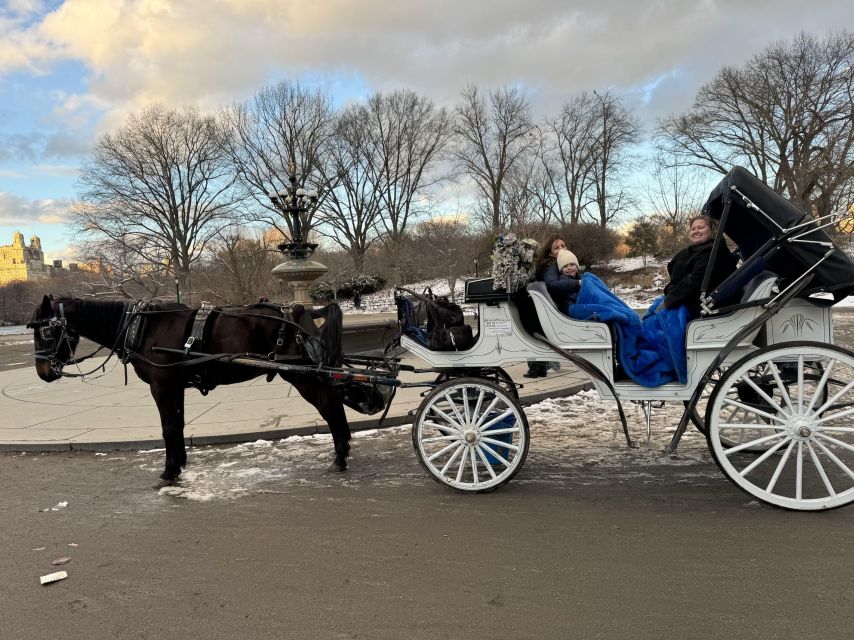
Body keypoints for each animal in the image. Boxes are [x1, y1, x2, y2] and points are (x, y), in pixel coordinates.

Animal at [29, 294, 352, 480]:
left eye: (44, 331)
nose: (42, 372)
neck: (140, 327)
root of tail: (299, 309)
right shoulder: (175, 386)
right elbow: (179, 424)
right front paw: (179, 463)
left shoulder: (161, 386)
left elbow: (168, 427)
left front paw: (170, 470)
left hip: (303, 376)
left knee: (330, 406)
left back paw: (340, 456)